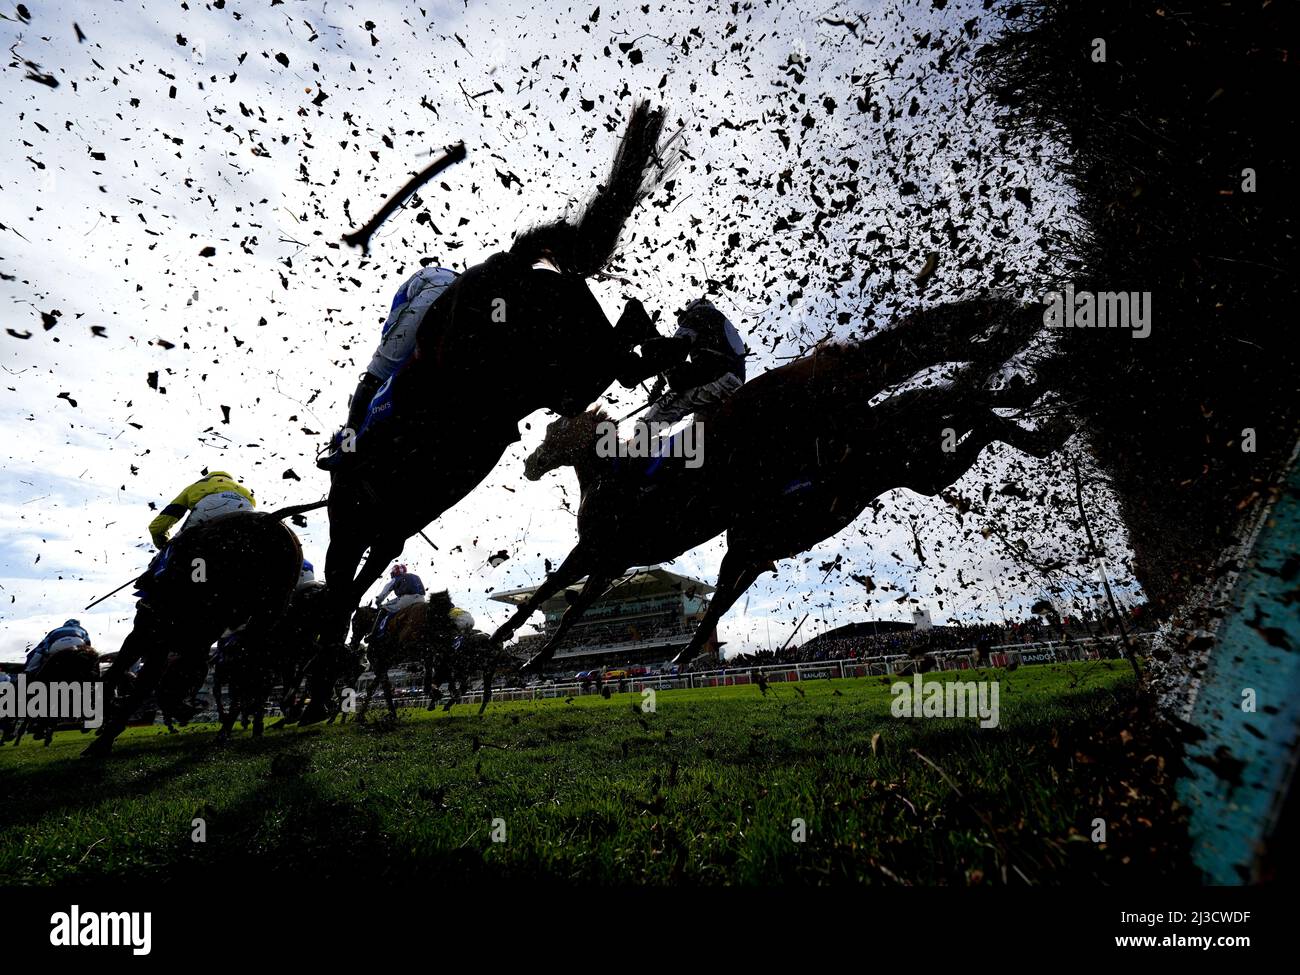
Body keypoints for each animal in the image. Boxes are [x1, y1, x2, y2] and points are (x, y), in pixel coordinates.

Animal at [83, 512, 304, 764]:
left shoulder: (154, 636)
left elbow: (134, 681)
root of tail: (270, 525)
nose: (188, 710)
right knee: (252, 671)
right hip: (265, 616)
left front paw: (103, 739)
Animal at [309, 99, 686, 728]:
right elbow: (353, 587)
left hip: (546, 366)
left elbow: (342, 592)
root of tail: (507, 266)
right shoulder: (394, 522)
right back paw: (671, 356)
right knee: (630, 328)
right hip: (573, 365)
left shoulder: (358, 520)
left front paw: (315, 689)